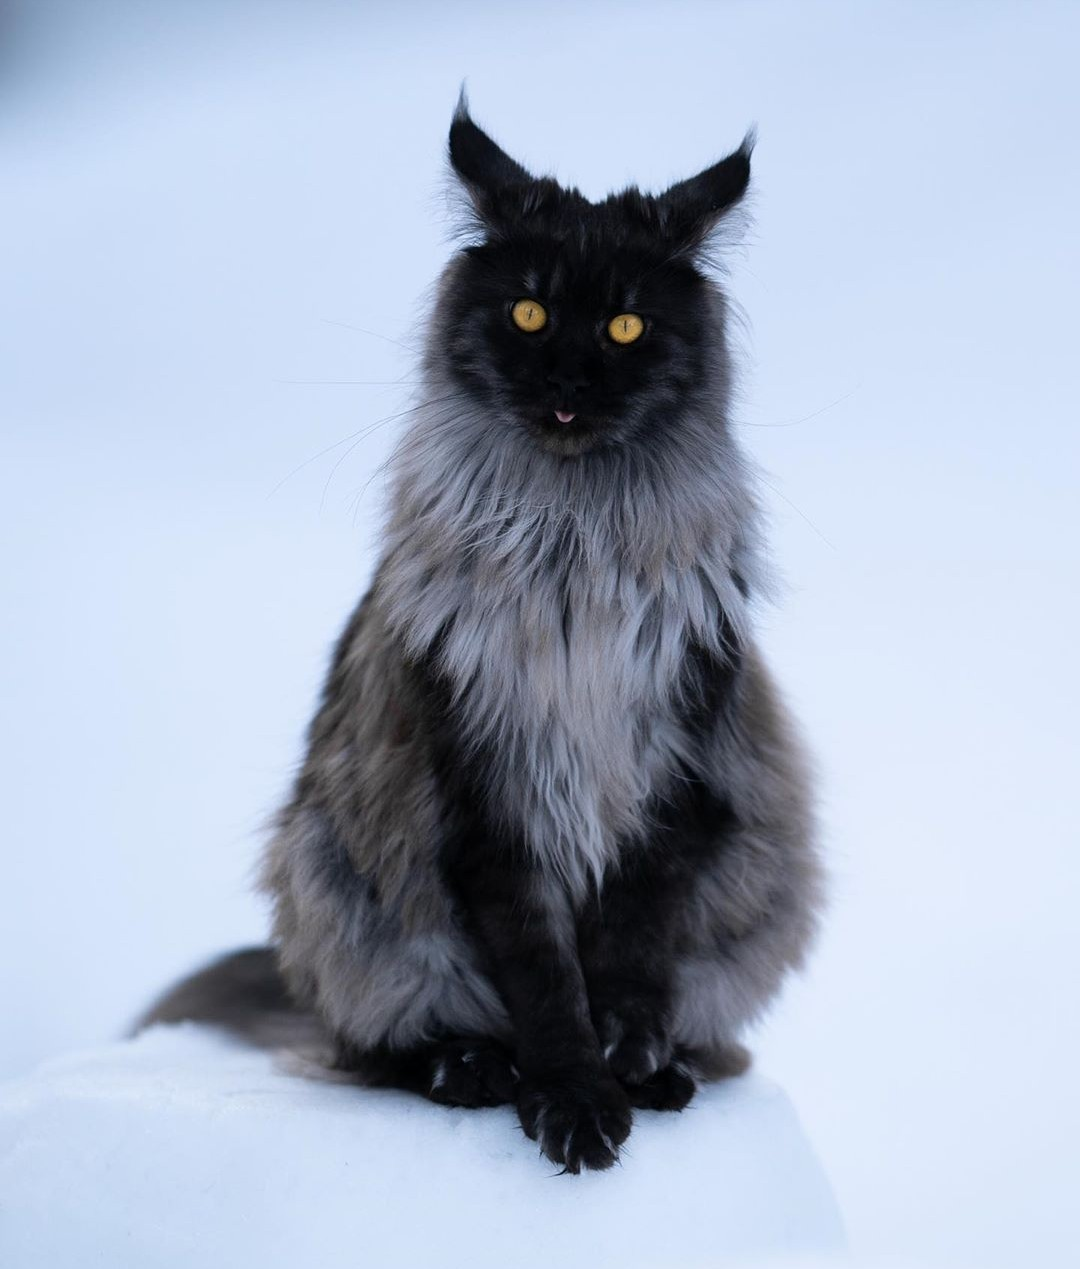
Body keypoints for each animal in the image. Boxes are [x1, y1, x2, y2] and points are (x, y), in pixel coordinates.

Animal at [139, 93, 822, 1172]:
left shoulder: (675, 777)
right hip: (334, 876)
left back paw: (666, 1072)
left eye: (627, 324)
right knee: (376, 1049)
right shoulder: (488, 791)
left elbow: (626, 956)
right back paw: (469, 1068)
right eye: (528, 313)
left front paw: (629, 1060)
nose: (570, 383)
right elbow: (545, 985)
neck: (572, 553)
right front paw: (575, 1101)